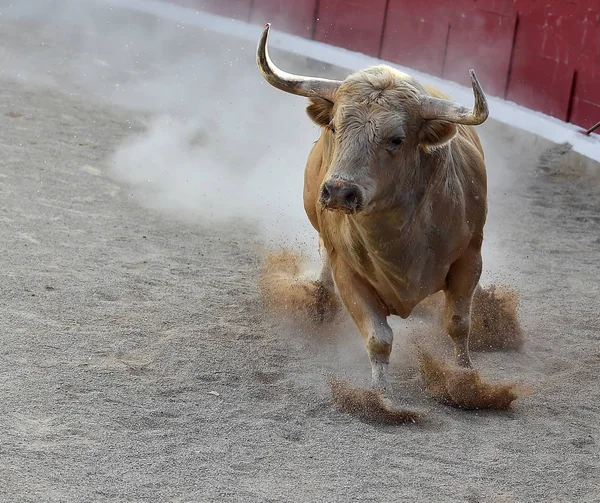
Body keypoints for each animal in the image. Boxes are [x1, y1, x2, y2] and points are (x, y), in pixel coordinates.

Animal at [255, 23, 490, 394]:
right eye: (334, 126)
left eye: (396, 139)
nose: (339, 192)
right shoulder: (347, 271)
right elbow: (379, 337)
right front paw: (380, 395)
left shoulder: (470, 257)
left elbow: (457, 323)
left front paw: (465, 377)